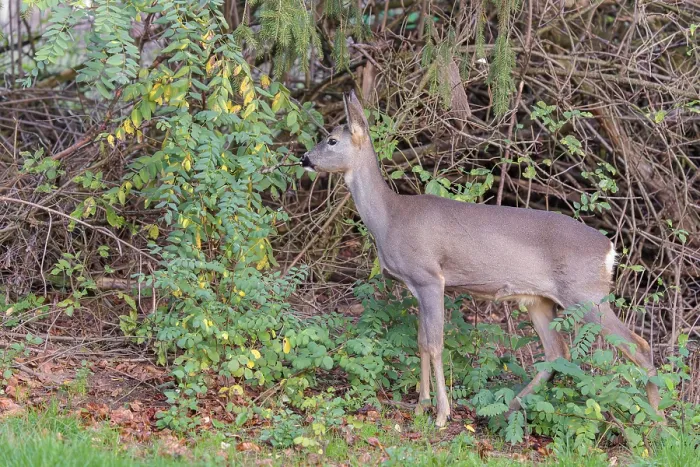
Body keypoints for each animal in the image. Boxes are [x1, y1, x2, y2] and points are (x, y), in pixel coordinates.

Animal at [299, 90, 662, 427]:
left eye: (331, 140)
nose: (304, 158)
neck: (390, 218)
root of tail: (609, 249)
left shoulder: (430, 278)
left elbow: (436, 344)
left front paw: (441, 414)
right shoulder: (416, 285)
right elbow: (421, 342)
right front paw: (420, 407)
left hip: (586, 295)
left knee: (639, 346)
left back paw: (658, 425)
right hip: (541, 300)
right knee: (557, 352)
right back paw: (510, 409)